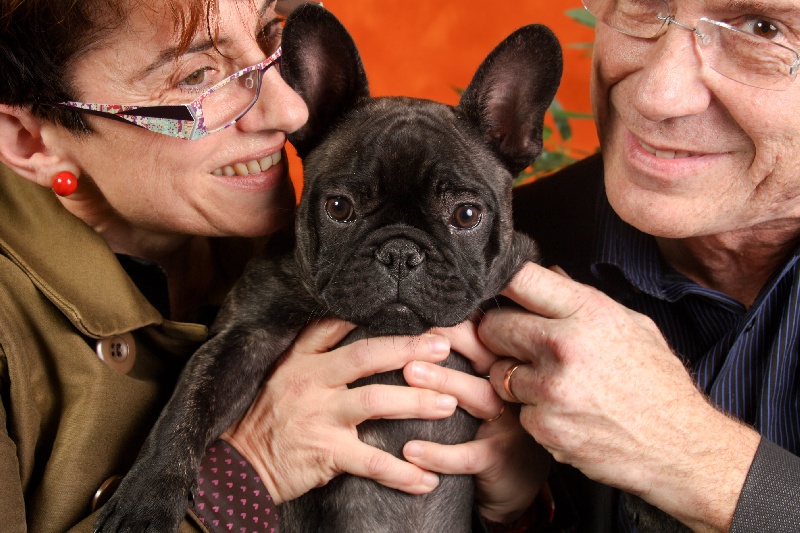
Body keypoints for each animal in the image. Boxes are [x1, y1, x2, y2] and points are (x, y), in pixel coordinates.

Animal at [95, 5, 564, 532]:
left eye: (466, 215)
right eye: (339, 208)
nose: (400, 253)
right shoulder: (244, 336)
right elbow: (185, 412)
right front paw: (144, 500)